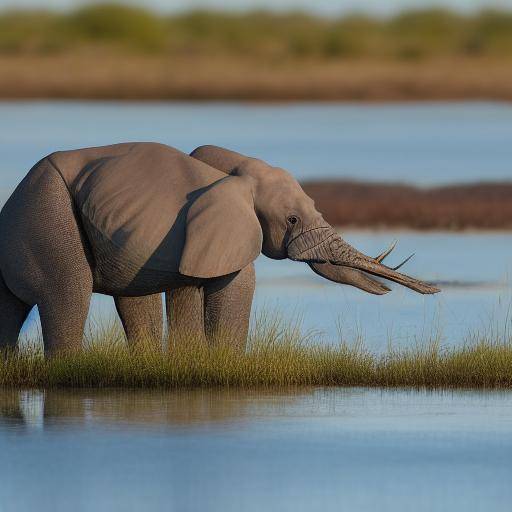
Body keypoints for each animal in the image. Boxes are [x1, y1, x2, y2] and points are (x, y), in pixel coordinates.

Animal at [0, 142, 440, 354]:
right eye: (292, 220)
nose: (435, 291)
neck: (239, 171)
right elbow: (239, 286)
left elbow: (184, 291)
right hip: (46, 213)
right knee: (69, 293)